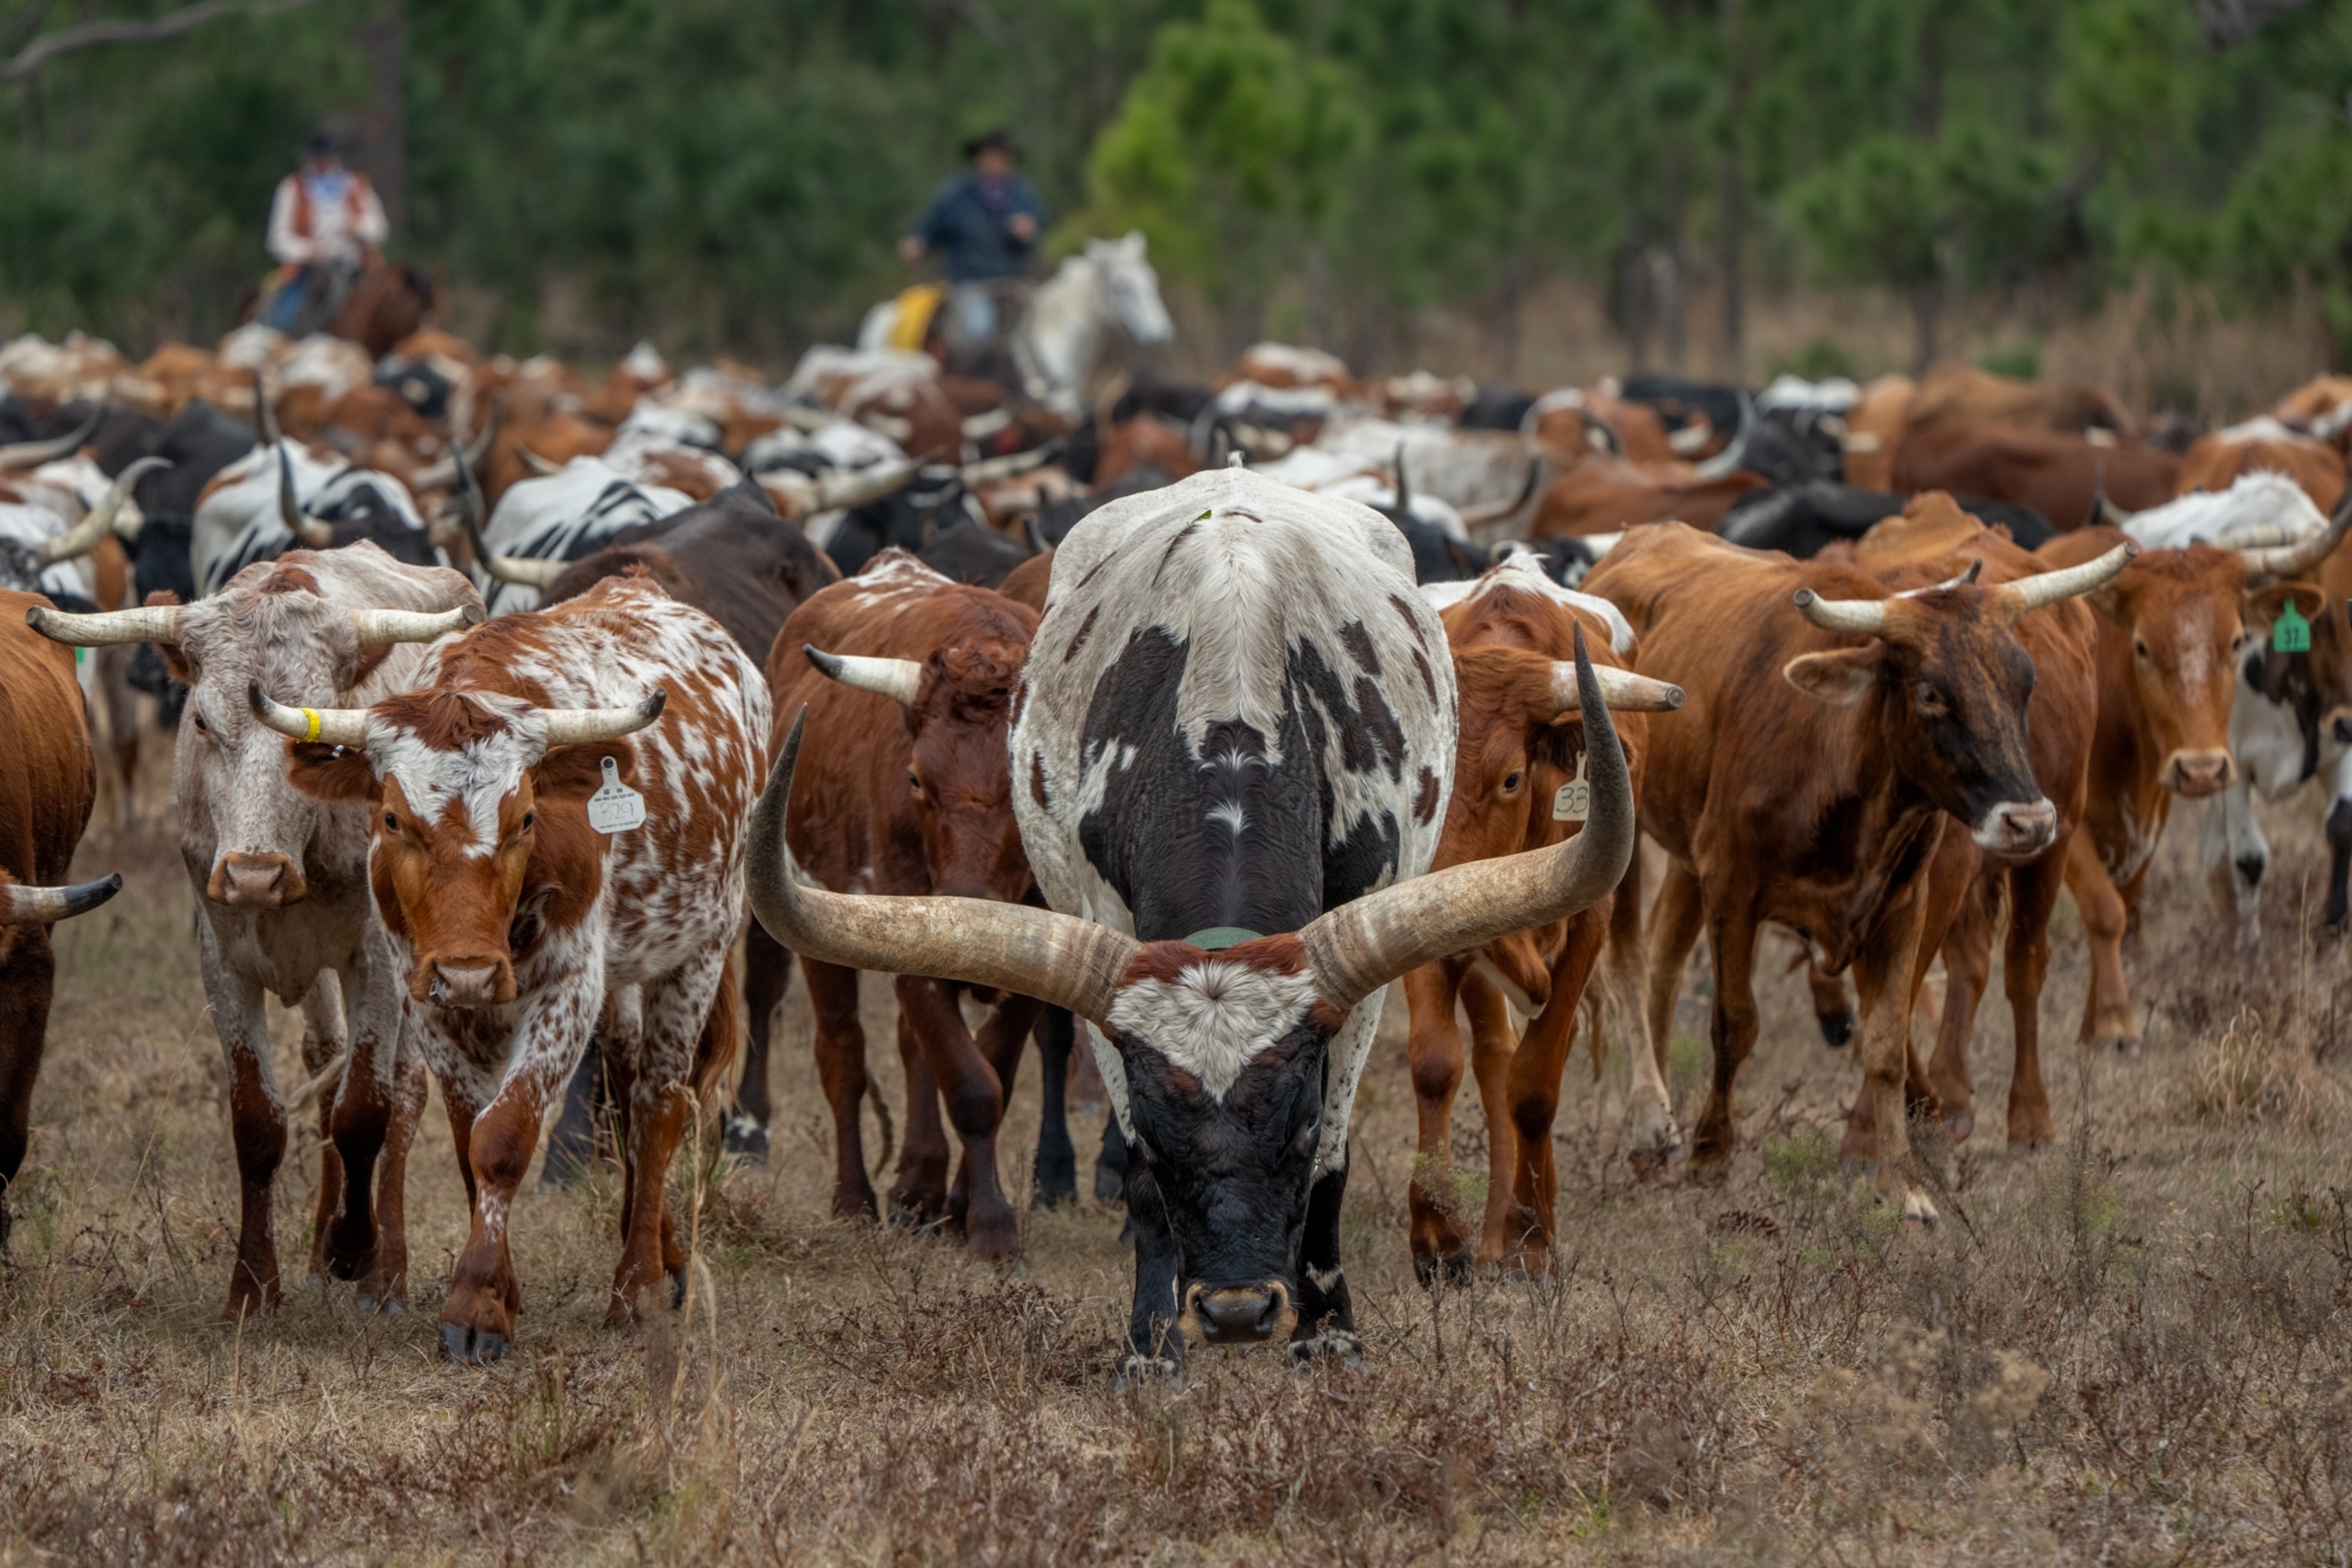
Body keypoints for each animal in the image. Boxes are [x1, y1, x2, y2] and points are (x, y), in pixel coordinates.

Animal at [28, 545, 480, 1316]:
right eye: (203, 725)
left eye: (325, 745)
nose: (252, 875)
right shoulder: (223, 962)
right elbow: (260, 1120)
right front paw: (255, 1284)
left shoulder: (375, 961)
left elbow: (366, 1110)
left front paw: (358, 1252)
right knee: (326, 1067)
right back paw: (319, 1254)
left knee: (403, 1092)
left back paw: (384, 1272)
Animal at [249, 572, 768, 1362]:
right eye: (393, 820)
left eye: (525, 818)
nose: (470, 972)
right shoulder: (428, 998)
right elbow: (470, 1139)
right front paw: (502, 1290)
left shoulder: (566, 988)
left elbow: (504, 1138)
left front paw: (478, 1310)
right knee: (626, 1085)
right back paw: (663, 1254)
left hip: (699, 953)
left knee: (657, 1108)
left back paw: (638, 1287)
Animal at [730, 552, 1051, 1246]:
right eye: (916, 779)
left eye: (1029, 785)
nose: (966, 905)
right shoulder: (911, 938)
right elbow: (971, 1086)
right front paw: (991, 1228)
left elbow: (992, 1073)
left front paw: (957, 1204)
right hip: (815, 912)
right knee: (843, 1055)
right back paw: (858, 1200)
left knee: (910, 1048)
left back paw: (917, 1190)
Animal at [1403, 559, 1684, 1282]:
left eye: (1509, 778)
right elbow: (1438, 1064)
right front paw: (1440, 1236)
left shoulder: (1587, 921)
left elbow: (1535, 1085)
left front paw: (1531, 1240)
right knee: (1494, 1056)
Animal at [1582, 519, 2132, 1220]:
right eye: (1931, 692)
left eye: (2025, 684)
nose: (2029, 821)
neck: (1837, 757)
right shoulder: (1733, 887)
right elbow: (1735, 1024)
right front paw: (1711, 1152)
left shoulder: (1902, 905)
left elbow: (1887, 1043)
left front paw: (1903, 1184)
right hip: (1627, 847)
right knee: (1634, 967)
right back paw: (1653, 1130)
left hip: (1687, 858)